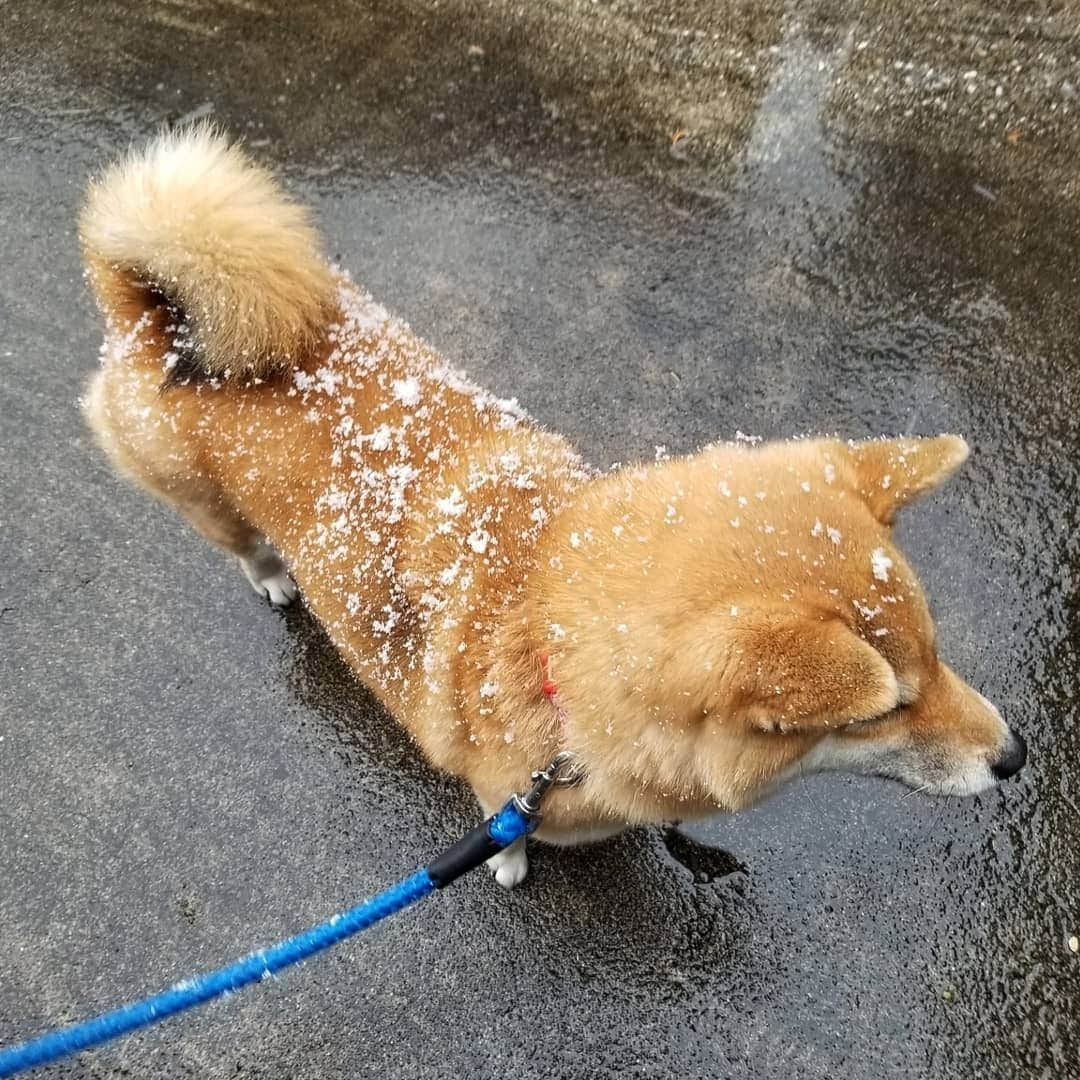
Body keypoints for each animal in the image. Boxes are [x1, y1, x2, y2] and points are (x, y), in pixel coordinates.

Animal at [79, 126, 1023, 885]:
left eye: (937, 656)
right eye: (885, 710)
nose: (1015, 757)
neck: (551, 649)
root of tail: (158, 312)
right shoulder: (505, 792)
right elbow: (507, 834)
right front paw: (509, 863)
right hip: (203, 501)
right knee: (240, 544)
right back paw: (272, 577)